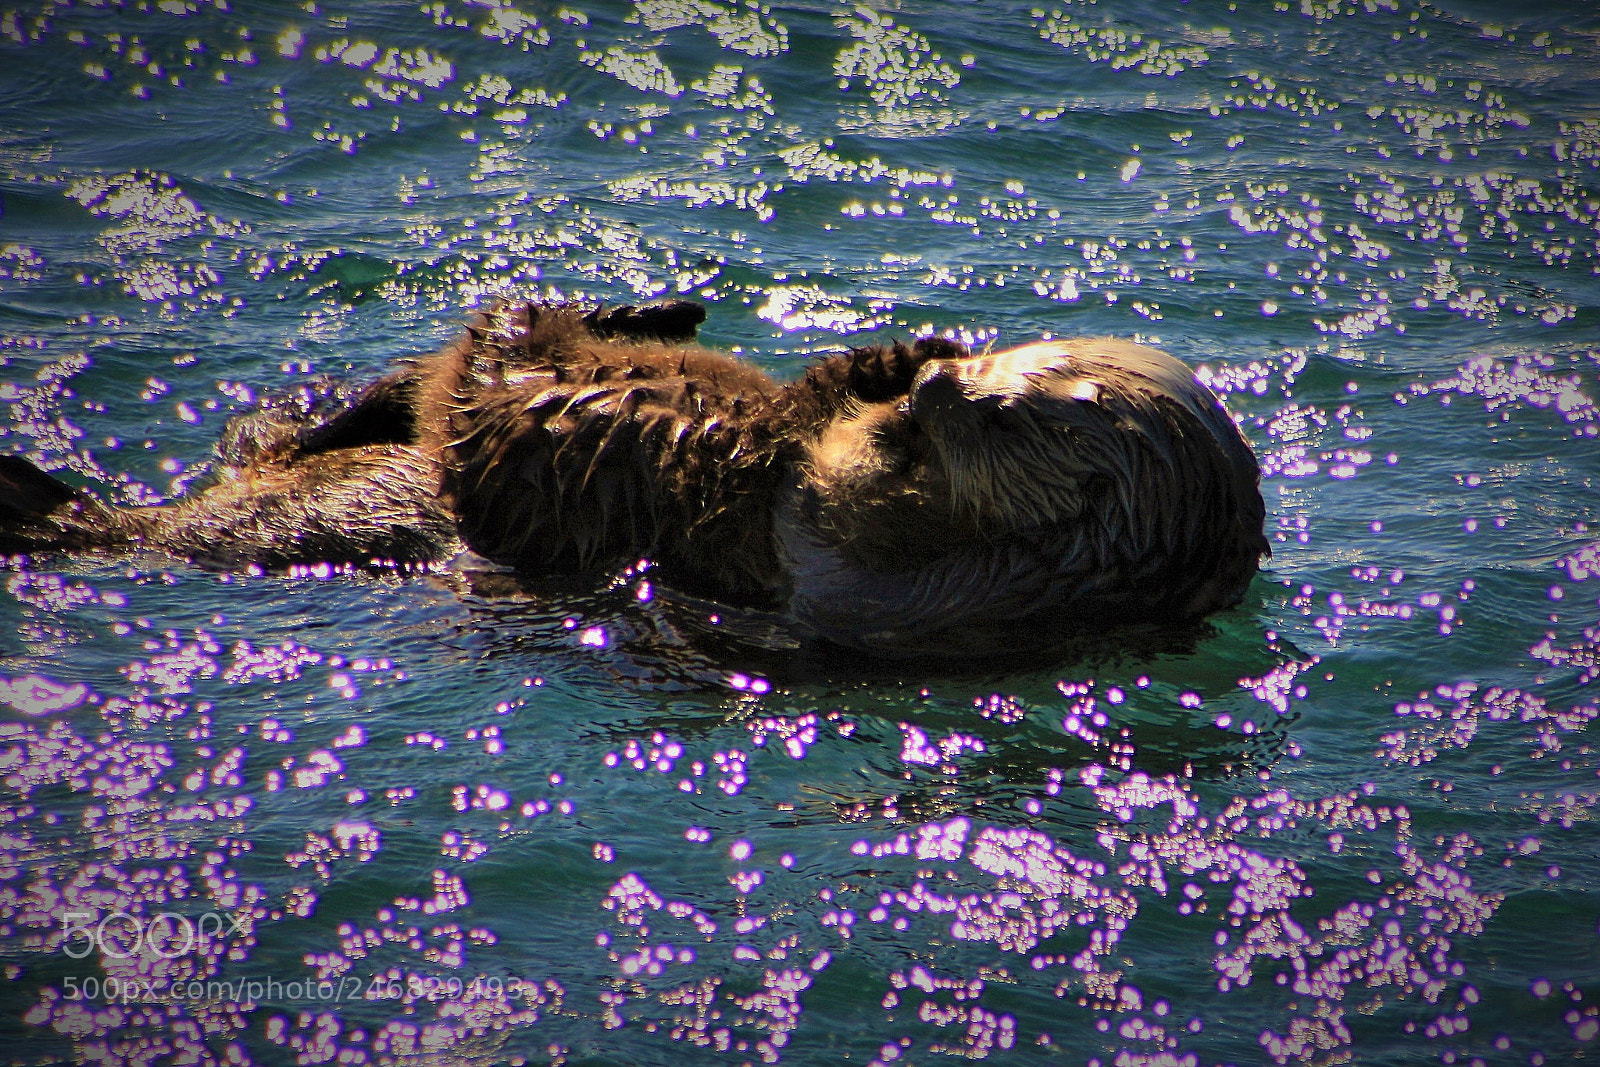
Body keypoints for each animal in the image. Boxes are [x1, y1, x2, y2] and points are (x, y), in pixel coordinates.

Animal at [0, 299, 1268, 658]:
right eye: (1014, 356)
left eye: (1009, 413)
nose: (941, 387)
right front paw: (900, 354)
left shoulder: (873, 579)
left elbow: (800, 481)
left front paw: (865, 390)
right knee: (330, 415)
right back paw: (654, 307)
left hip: (466, 424)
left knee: (476, 365)